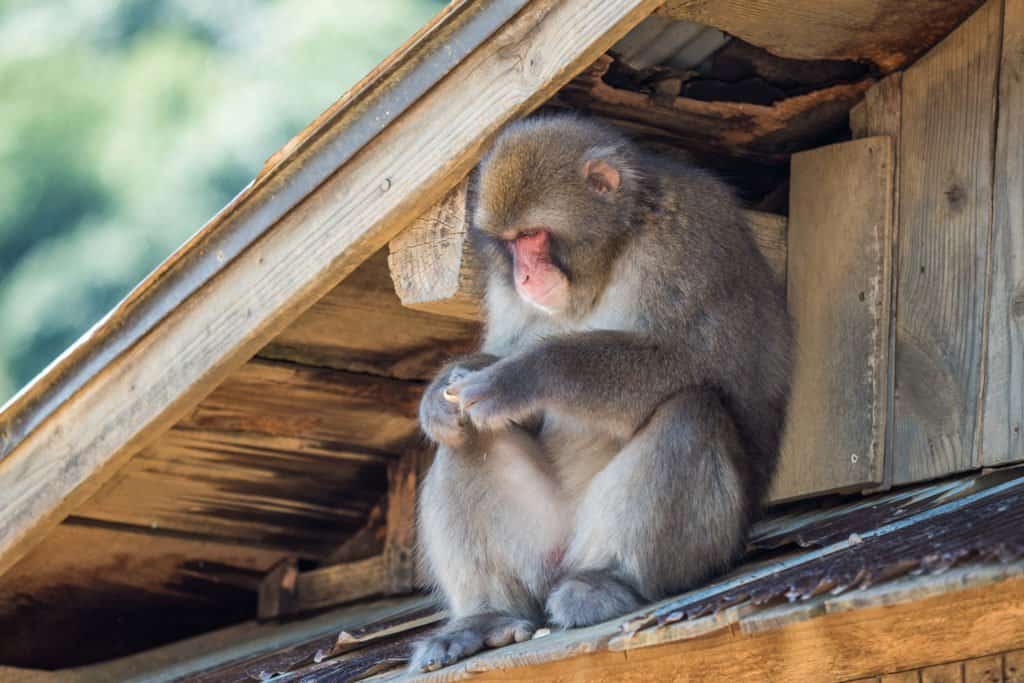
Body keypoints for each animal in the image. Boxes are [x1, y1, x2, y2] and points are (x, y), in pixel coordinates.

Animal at [409, 114, 792, 672]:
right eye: (510, 243)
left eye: (534, 235)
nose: (525, 274)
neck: (612, 253)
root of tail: (569, 552)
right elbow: (485, 392)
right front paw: (441, 395)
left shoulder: (691, 236)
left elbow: (697, 362)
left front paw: (524, 375)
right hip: (541, 541)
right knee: (466, 440)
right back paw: (487, 616)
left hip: (702, 545)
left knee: (692, 409)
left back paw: (610, 579)